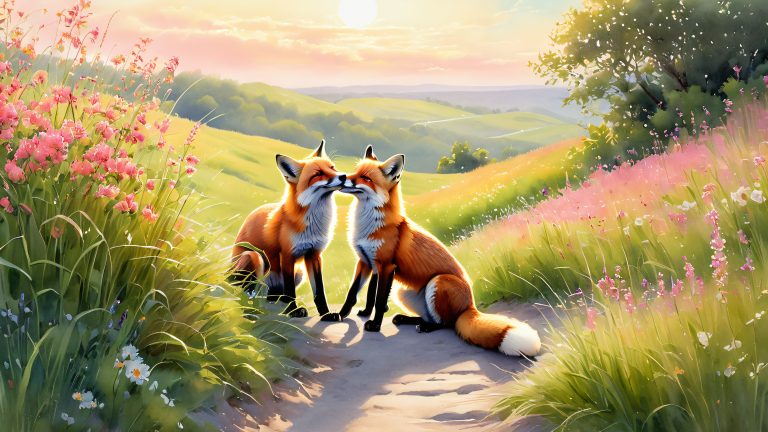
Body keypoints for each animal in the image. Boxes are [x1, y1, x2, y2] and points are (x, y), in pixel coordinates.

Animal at [232, 140, 344, 321]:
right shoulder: (287, 255)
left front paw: (326, 314)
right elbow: (291, 291)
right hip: (254, 257)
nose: (344, 176)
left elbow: (319, 292)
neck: (313, 224)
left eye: (332, 167)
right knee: (244, 286)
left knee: (275, 294)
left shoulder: (314, 254)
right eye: (318, 173)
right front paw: (293, 311)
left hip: (299, 272)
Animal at [337, 145, 541, 357]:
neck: (370, 227)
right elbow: (359, 293)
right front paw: (344, 315)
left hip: (439, 282)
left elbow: (378, 299)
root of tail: (470, 306)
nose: (342, 177)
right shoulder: (367, 262)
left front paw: (375, 325)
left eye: (366, 178)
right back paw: (407, 319)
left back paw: (425, 327)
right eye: (355, 172)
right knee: (432, 318)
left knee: (446, 323)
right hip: (402, 291)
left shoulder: (386, 266)